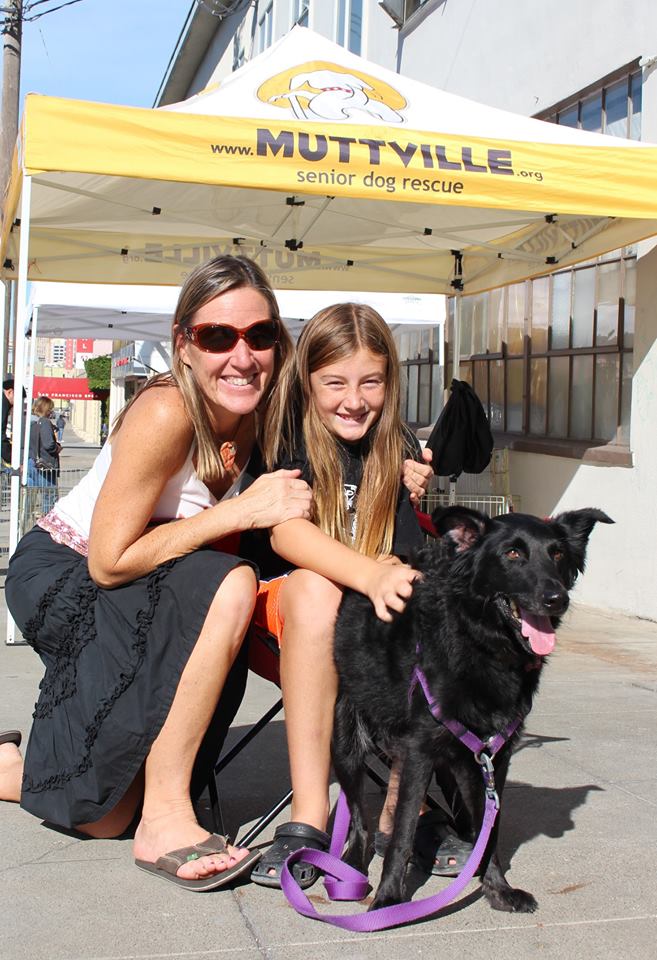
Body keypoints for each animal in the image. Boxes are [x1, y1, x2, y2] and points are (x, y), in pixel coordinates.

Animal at [330, 506, 612, 912]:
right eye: (513, 553)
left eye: (558, 554)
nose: (556, 598)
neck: (482, 645)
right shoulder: (420, 750)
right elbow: (402, 831)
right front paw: (389, 898)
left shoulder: (493, 756)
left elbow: (489, 829)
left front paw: (497, 887)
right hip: (346, 743)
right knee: (357, 815)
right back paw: (352, 862)